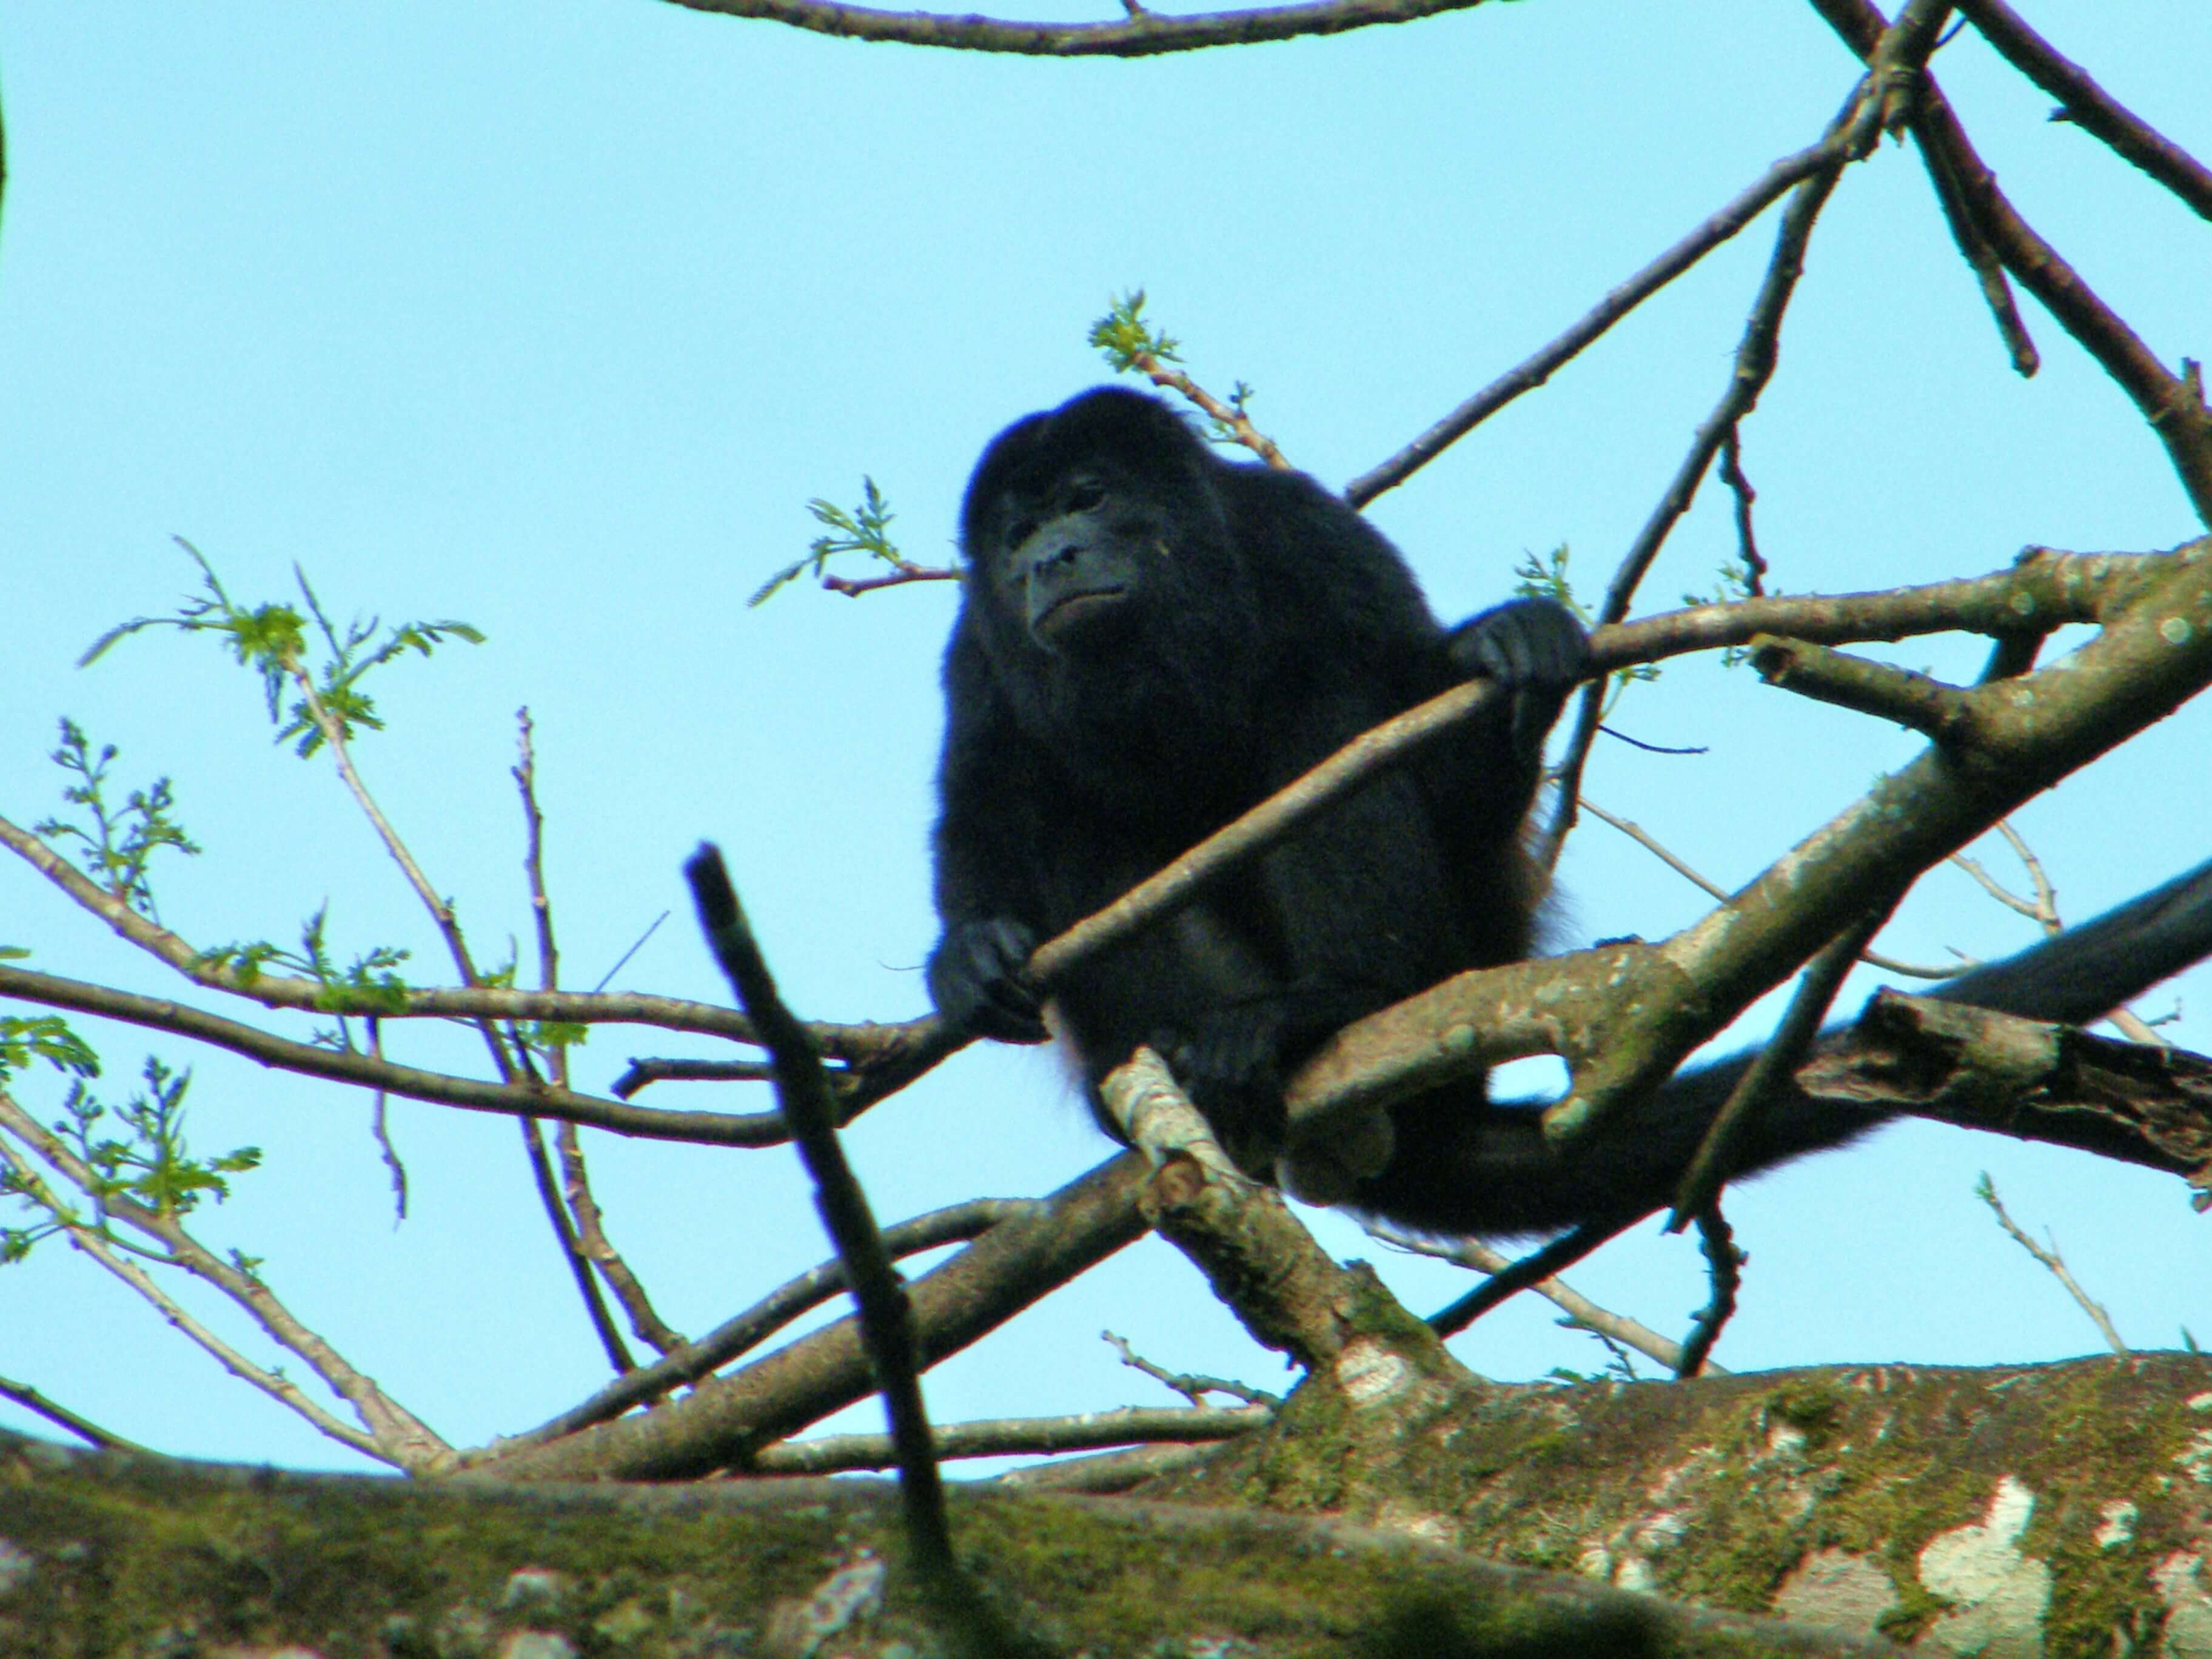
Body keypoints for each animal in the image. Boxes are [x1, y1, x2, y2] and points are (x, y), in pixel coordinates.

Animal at [924, 387, 2212, 1238]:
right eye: (1013, 534)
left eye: (1087, 499)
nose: (1046, 560)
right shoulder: (978, 653)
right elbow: (979, 809)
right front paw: (966, 951)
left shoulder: (1308, 537)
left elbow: (1422, 751)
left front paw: (1511, 658)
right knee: (1070, 817)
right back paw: (1174, 1067)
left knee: (1319, 711)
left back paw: (1332, 1002)